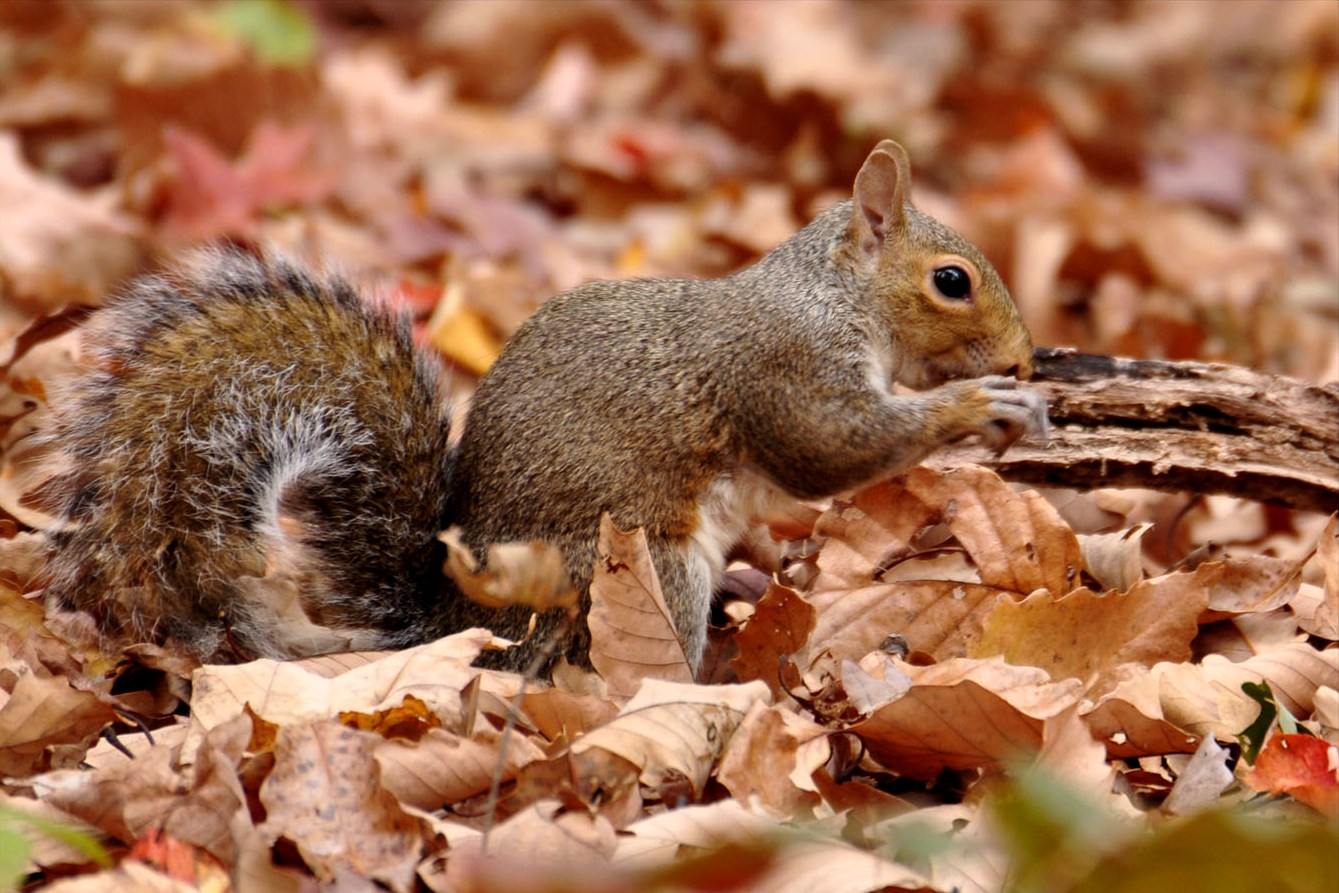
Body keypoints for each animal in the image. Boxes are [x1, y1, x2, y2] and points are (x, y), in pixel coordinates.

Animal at [36, 139, 1044, 669]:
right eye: (951, 280)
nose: (1027, 358)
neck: (833, 297)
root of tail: (459, 624)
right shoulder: (784, 370)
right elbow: (833, 449)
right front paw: (973, 406)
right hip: (630, 563)